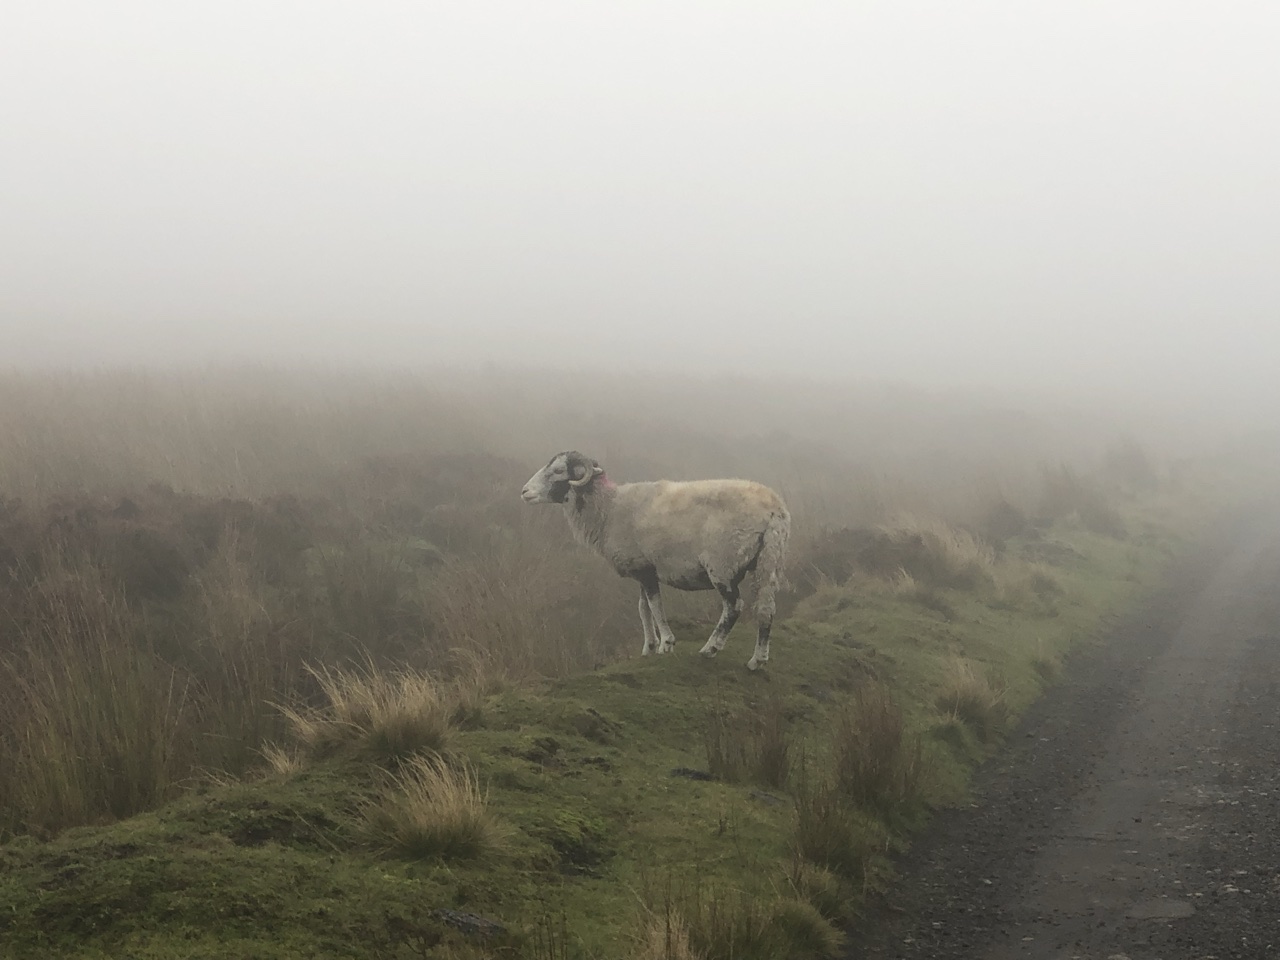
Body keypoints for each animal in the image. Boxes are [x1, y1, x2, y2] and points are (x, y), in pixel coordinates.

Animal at [519, 450, 788, 670]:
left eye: (558, 471)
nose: (524, 492)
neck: (609, 508)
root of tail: (774, 509)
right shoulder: (642, 570)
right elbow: (643, 608)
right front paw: (648, 647)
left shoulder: (645, 568)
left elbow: (655, 605)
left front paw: (666, 643)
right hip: (769, 563)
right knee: (766, 608)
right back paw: (757, 660)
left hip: (723, 565)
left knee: (734, 606)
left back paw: (709, 649)